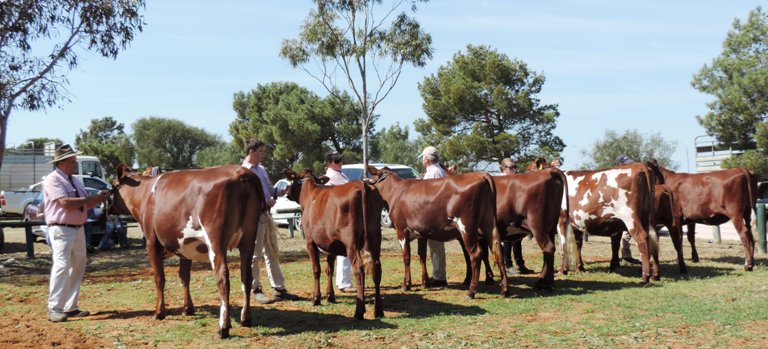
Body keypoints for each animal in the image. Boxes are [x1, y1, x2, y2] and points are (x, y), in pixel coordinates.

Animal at [109, 163, 268, 338]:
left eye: (112, 186)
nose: (108, 208)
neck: (145, 194)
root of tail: (241, 172)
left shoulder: (151, 242)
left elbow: (159, 278)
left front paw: (159, 312)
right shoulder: (185, 248)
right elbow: (184, 277)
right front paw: (188, 308)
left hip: (216, 242)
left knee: (223, 278)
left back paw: (223, 328)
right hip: (248, 239)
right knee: (246, 276)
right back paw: (245, 319)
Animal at [366, 164, 504, 298]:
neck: (395, 190)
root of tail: (481, 175)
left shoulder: (401, 230)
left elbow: (406, 257)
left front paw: (406, 285)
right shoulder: (420, 232)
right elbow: (421, 255)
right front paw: (425, 282)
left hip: (467, 228)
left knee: (476, 254)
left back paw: (471, 292)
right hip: (489, 225)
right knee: (497, 250)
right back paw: (504, 290)